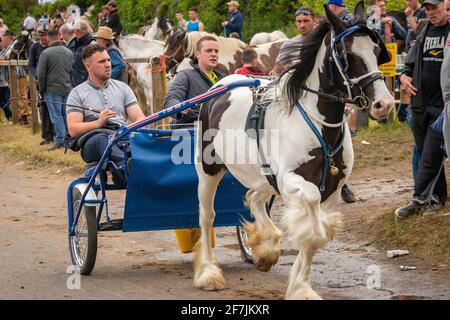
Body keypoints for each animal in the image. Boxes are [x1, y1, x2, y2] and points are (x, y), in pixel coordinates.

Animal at [193, 1, 394, 300]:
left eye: (377, 51)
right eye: (347, 55)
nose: (384, 103)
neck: (320, 126)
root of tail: (219, 86)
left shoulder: (331, 189)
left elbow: (314, 237)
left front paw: (300, 286)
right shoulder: (293, 180)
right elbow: (311, 225)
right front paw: (299, 285)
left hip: (263, 176)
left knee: (254, 197)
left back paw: (265, 246)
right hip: (209, 170)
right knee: (207, 217)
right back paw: (208, 272)